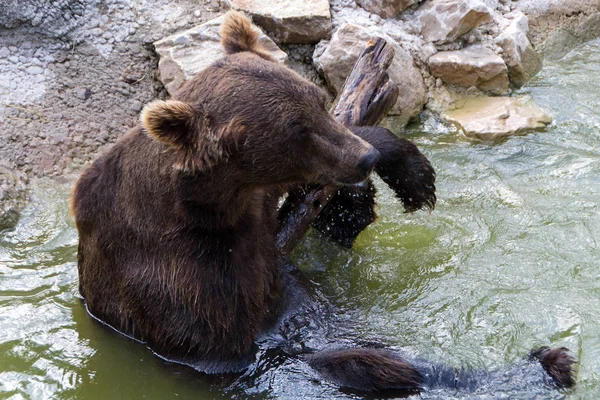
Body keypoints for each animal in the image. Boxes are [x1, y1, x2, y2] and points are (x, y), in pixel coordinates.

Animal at [72, 10, 576, 396]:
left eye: (316, 99)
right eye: (295, 131)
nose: (363, 159)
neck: (209, 207)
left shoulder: (254, 206)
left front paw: (410, 173)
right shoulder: (181, 280)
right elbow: (250, 346)